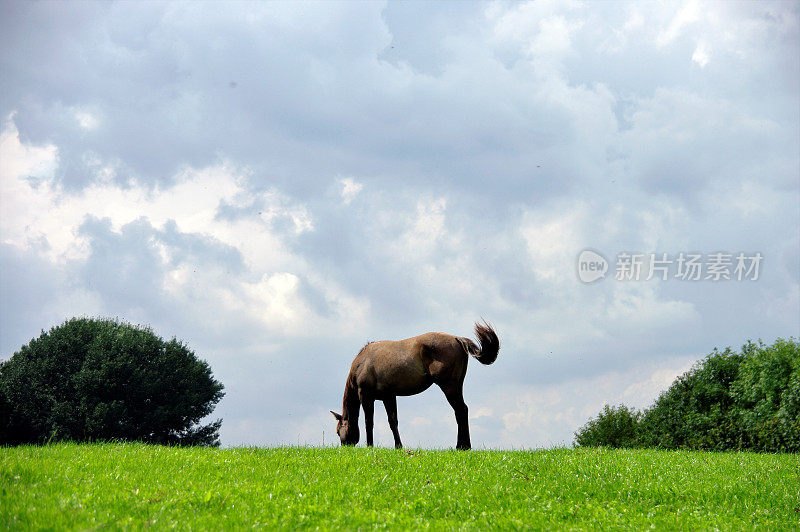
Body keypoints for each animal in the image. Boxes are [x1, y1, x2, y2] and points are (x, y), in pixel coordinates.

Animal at [328, 320, 496, 448]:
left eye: (338, 430)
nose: (345, 447)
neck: (362, 362)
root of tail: (457, 339)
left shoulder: (366, 395)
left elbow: (369, 422)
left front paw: (370, 446)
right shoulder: (388, 397)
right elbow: (393, 421)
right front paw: (398, 446)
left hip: (449, 386)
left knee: (461, 410)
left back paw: (462, 446)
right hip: (457, 385)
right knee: (461, 411)